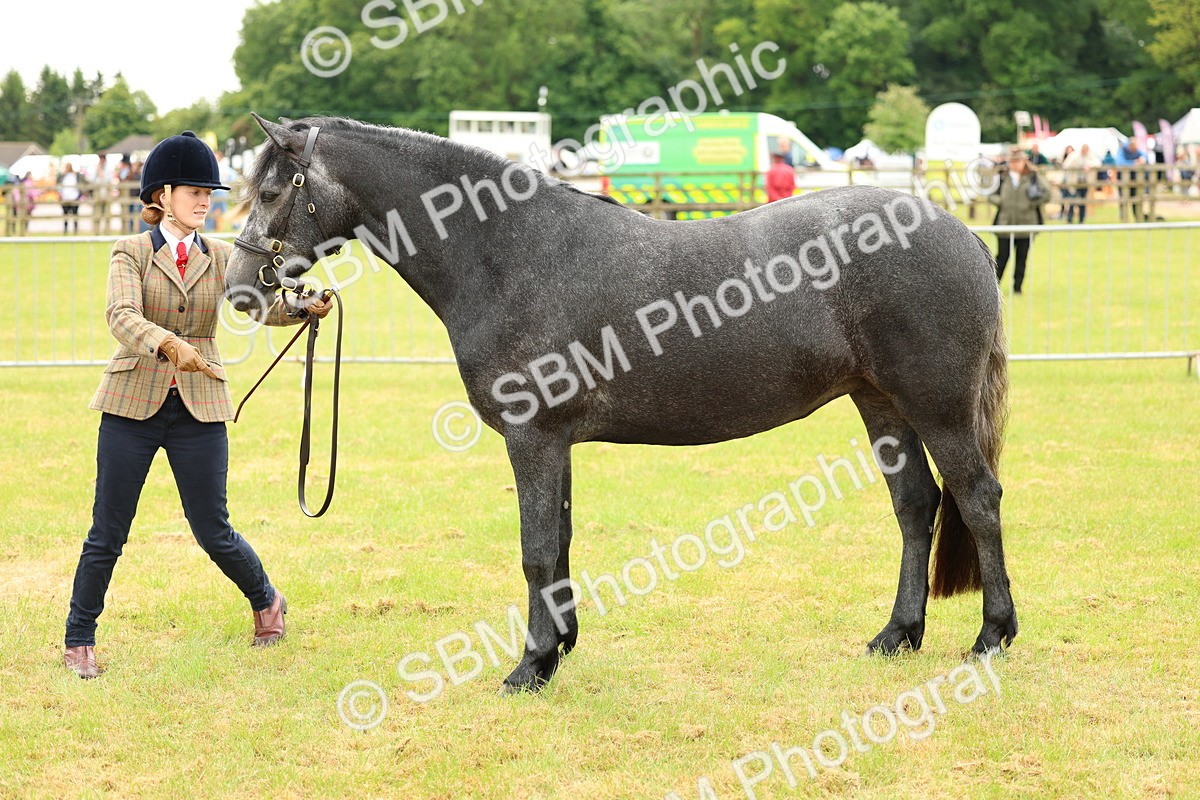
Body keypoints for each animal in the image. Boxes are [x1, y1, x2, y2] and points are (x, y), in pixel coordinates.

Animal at [226, 114, 1017, 694]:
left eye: (269, 193)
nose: (240, 289)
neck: (507, 253)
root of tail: (962, 234)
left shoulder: (532, 436)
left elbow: (537, 549)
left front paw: (529, 667)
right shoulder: (556, 443)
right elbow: (561, 541)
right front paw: (560, 647)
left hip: (937, 408)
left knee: (977, 500)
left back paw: (991, 636)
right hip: (880, 403)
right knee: (915, 506)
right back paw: (897, 635)